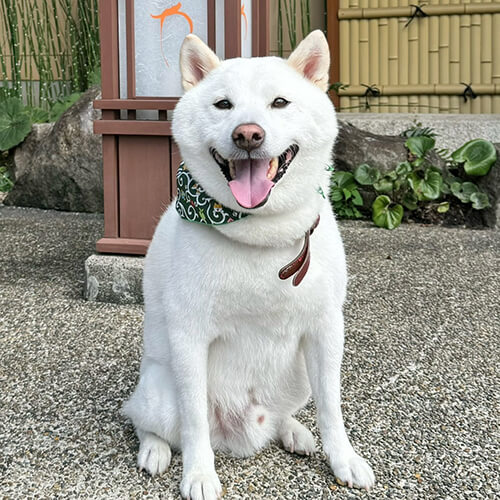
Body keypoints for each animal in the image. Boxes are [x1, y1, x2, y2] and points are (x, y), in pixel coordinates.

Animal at [123, 30, 376, 496]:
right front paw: (199, 474)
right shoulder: (190, 336)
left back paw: (294, 430)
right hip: (159, 390)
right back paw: (154, 450)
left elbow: (331, 406)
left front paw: (344, 459)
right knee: (146, 420)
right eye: (223, 105)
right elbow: (193, 421)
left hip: (297, 377)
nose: (248, 135)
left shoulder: (325, 328)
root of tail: (240, 434)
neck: (261, 233)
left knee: (280, 417)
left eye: (279, 102)